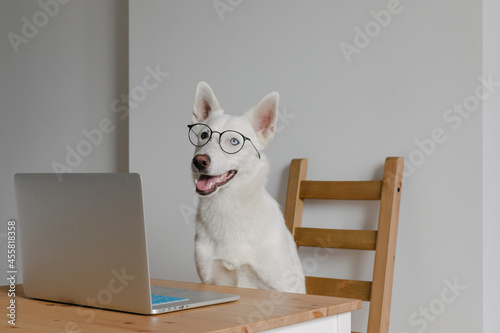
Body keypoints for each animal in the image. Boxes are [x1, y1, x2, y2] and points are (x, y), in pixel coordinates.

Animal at [188, 81, 304, 292]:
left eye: (234, 141)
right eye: (204, 135)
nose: (199, 161)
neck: (228, 206)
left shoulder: (281, 286)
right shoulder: (210, 280)